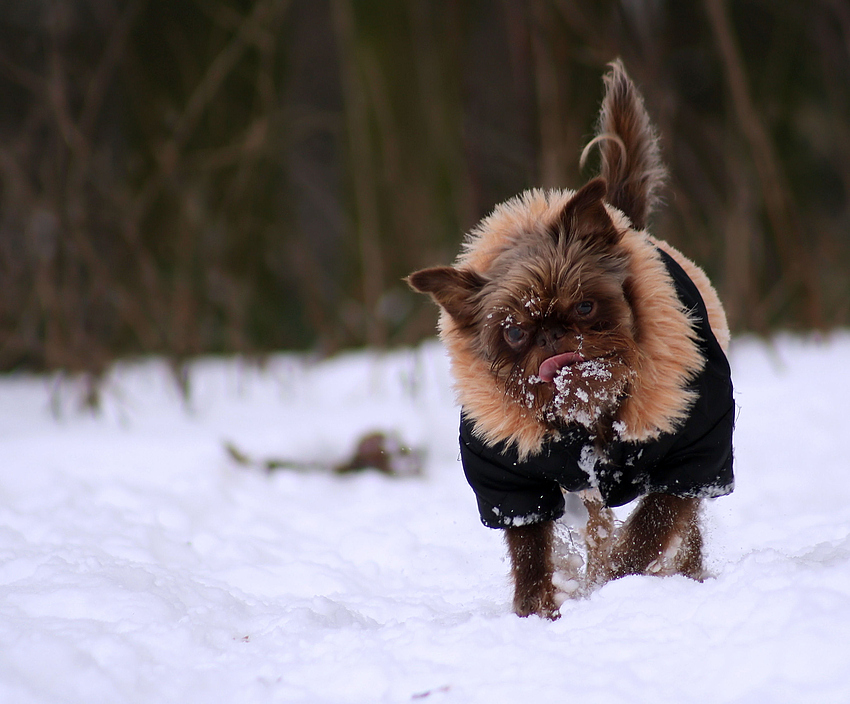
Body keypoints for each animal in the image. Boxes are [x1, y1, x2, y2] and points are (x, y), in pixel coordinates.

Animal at [408, 63, 732, 620]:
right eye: (515, 331)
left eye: (584, 307)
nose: (553, 333)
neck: (590, 415)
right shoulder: (512, 481)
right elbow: (530, 549)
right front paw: (537, 610)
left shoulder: (694, 455)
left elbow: (653, 526)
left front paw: (617, 582)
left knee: (682, 532)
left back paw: (686, 579)